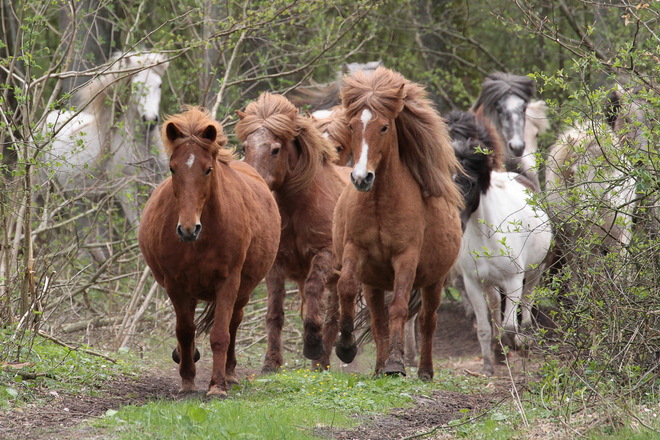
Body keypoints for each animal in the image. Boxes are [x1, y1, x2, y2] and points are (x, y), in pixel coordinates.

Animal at [141, 107, 280, 398]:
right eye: (172, 168)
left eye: (207, 169)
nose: (187, 229)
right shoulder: (176, 284)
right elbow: (184, 331)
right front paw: (187, 382)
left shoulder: (228, 282)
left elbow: (220, 335)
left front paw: (217, 386)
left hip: (243, 290)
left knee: (234, 323)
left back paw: (230, 373)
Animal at [236, 93, 350, 372]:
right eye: (245, 147)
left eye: (275, 149)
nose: (253, 181)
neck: (298, 206)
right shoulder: (276, 263)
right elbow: (274, 314)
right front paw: (271, 362)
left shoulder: (326, 255)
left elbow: (312, 290)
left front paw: (312, 343)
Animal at [332, 67, 462, 380]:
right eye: (352, 126)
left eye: (383, 128)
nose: (361, 178)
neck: (381, 203)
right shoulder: (355, 250)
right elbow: (346, 287)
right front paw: (346, 346)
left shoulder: (406, 257)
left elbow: (400, 308)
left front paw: (396, 362)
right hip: (373, 282)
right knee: (378, 318)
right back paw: (378, 367)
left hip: (434, 281)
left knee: (427, 320)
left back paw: (424, 370)